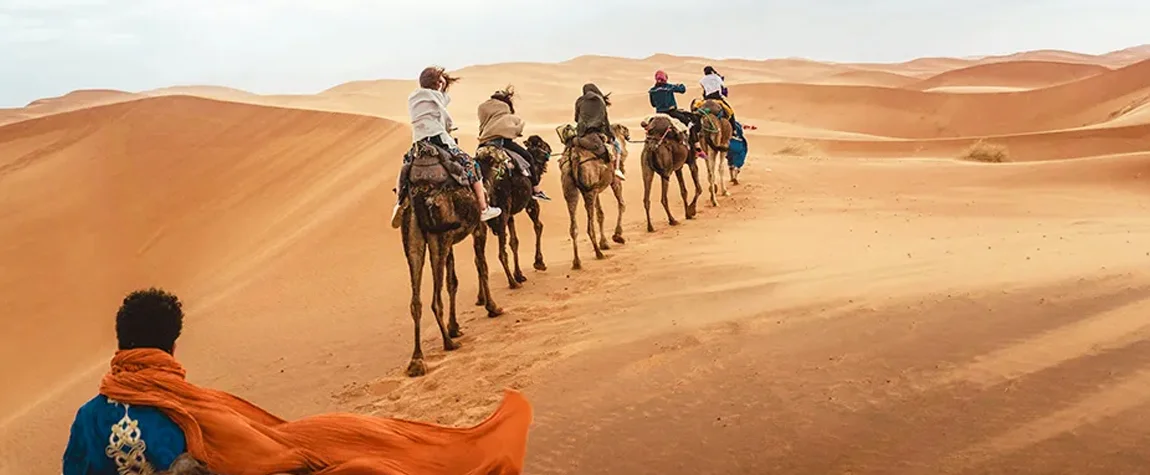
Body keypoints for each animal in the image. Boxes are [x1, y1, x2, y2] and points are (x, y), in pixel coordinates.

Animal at [400, 138, 499, 374]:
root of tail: (420, 192)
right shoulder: (478, 228)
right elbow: (482, 265)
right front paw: (493, 307)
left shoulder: (451, 241)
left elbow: (452, 281)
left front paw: (454, 327)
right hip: (439, 237)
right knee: (435, 299)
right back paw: (448, 343)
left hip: (413, 236)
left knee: (416, 300)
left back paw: (417, 360)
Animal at [471, 135, 552, 286]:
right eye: (541, 144)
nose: (549, 149)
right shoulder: (530, 202)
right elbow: (538, 226)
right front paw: (539, 263)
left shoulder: (510, 215)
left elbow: (514, 241)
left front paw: (519, 274)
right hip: (501, 213)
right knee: (501, 253)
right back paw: (512, 282)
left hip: (481, 222)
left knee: (479, 260)